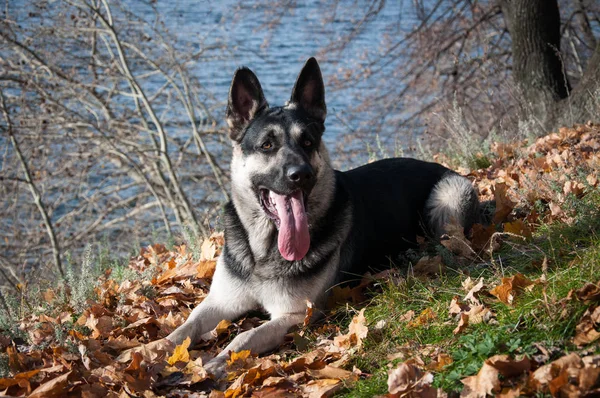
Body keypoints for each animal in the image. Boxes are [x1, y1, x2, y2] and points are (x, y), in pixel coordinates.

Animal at [166, 56, 480, 376]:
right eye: (267, 145)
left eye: (308, 142)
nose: (300, 175)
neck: (263, 251)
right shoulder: (219, 302)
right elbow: (184, 328)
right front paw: (157, 349)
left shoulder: (295, 314)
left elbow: (245, 336)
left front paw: (219, 361)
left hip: (448, 199)